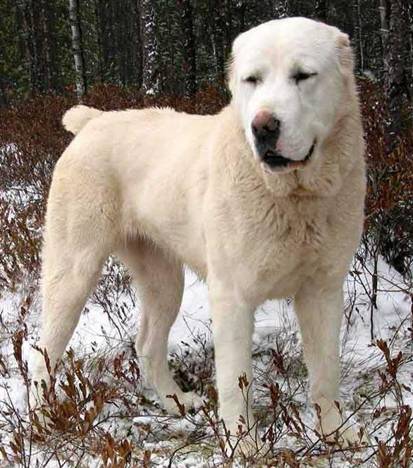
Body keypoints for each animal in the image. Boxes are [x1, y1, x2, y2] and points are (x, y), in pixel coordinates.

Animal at [32, 17, 364, 454]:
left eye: (303, 75)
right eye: (252, 79)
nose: (263, 126)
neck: (293, 199)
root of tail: (94, 120)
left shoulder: (323, 290)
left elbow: (326, 372)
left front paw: (335, 432)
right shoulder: (232, 296)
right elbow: (236, 381)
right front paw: (244, 445)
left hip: (164, 281)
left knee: (147, 344)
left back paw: (175, 401)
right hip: (73, 272)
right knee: (42, 352)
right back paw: (41, 422)